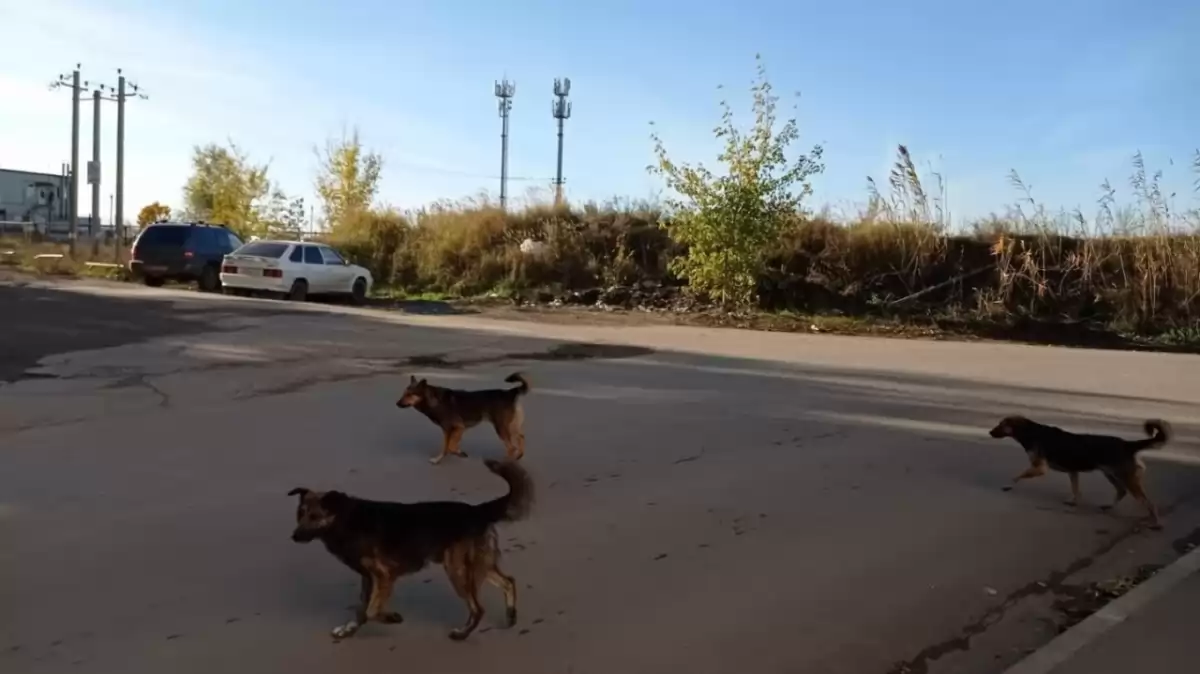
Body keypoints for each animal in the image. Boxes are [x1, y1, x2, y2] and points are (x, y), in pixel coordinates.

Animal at [288, 455, 532, 638]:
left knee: (478, 608)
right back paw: (510, 615)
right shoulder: (368, 577)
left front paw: (390, 617)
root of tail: (477, 510)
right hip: (477, 564)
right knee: (508, 581)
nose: (294, 536)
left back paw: (462, 634)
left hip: (457, 569)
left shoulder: (383, 576)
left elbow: (371, 609)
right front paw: (349, 629)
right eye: (300, 514)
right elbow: (361, 609)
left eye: (314, 517)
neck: (345, 519)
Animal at [398, 369, 530, 465]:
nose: (397, 404)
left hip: (500, 427)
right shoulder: (449, 431)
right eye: (403, 394)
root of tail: (510, 392)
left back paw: (505, 461)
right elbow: (445, 446)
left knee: (511, 447)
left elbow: (450, 446)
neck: (434, 400)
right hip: (511, 426)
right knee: (521, 437)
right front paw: (439, 459)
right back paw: (519, 455)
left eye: (409, 395)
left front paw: (458, 452)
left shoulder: (458, 427)